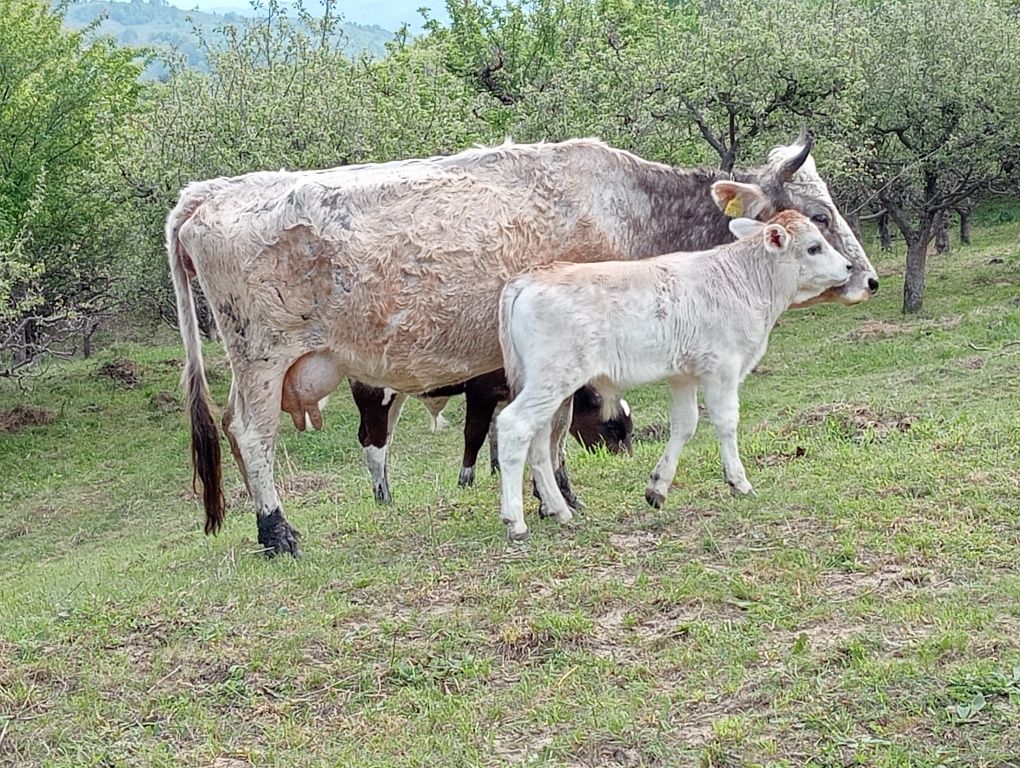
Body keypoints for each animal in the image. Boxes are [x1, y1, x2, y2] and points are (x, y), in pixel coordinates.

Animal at [493, 203, 852, 538]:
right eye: (814, 247)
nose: (848, 266)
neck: (747, 281)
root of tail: (528, 279)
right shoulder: (723, 368)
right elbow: (726, 422)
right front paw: (739, 482)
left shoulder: (683, 374)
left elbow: (685, 425)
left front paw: (657, 488)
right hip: (553, 379)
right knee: (514, 426)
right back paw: (516, 521)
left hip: (548, 386)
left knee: (539, 443)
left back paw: (559, 509)